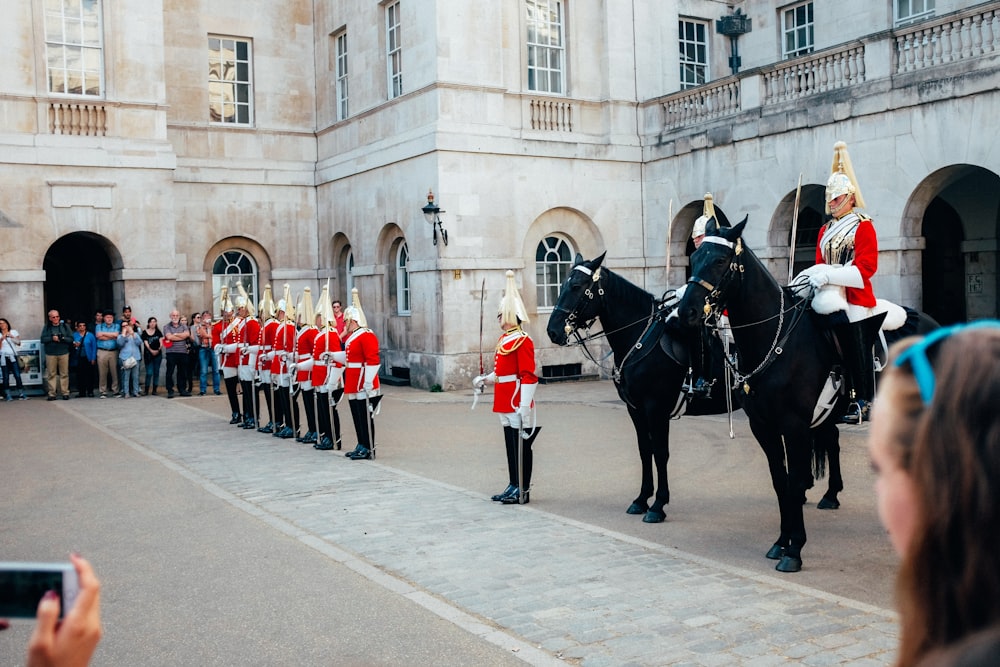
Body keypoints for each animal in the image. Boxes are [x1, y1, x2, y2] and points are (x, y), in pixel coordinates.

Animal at [548, 253, 736, 524]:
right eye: (561, 285)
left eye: (575, 286)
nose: (552, 331)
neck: (640, 338)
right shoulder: (635, 409)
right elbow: (645, 450)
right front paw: (641, 499)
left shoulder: (656, 408)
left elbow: (660, 452)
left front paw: (658, 504)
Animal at [676, 220, 940, 576]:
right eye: (694, 256)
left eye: (719, 260)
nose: (685, 310)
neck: (776, 338)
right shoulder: (764, 427)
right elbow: (781, 481)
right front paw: (781, 541)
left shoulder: (795, 426)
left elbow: (795, 481)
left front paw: (795, 550)